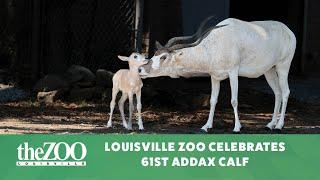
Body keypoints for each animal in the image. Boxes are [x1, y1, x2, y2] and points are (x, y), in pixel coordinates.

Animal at [141, 17, 296, 133]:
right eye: (155, 54)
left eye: (163, 57)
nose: (141, 70)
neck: (216, 44)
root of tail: (289, 31)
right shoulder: (214, 76)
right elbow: (212, 100)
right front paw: (206, 126)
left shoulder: (233, 72)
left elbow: (234, 100)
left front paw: (237, 127)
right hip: (269, 70)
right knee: (277, 93)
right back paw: (270, 125)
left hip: (283, 66)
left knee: (286, 92)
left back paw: (279, 126)